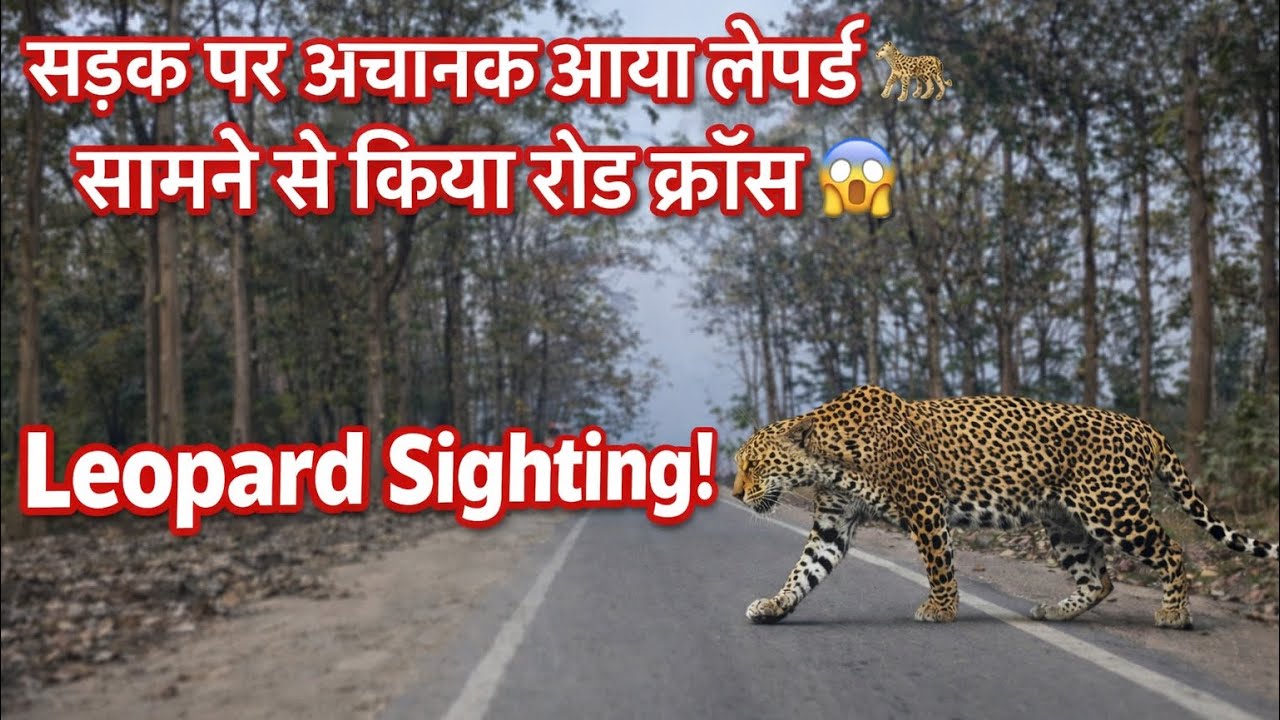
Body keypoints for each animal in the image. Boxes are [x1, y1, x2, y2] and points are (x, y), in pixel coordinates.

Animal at [731, 385, 1279, 629]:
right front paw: (774, 605)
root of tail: (1144, 426)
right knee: (1099, 579)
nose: (735, 494)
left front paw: (941, 609)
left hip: (1113, 509)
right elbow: (804, 571)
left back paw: (1175, 612)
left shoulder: (924, 506)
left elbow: (939, 565)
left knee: (1170, 550)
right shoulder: (833, 523)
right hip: (1065, 523)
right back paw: (1056, 610)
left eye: (754, 464)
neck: (828, 458)